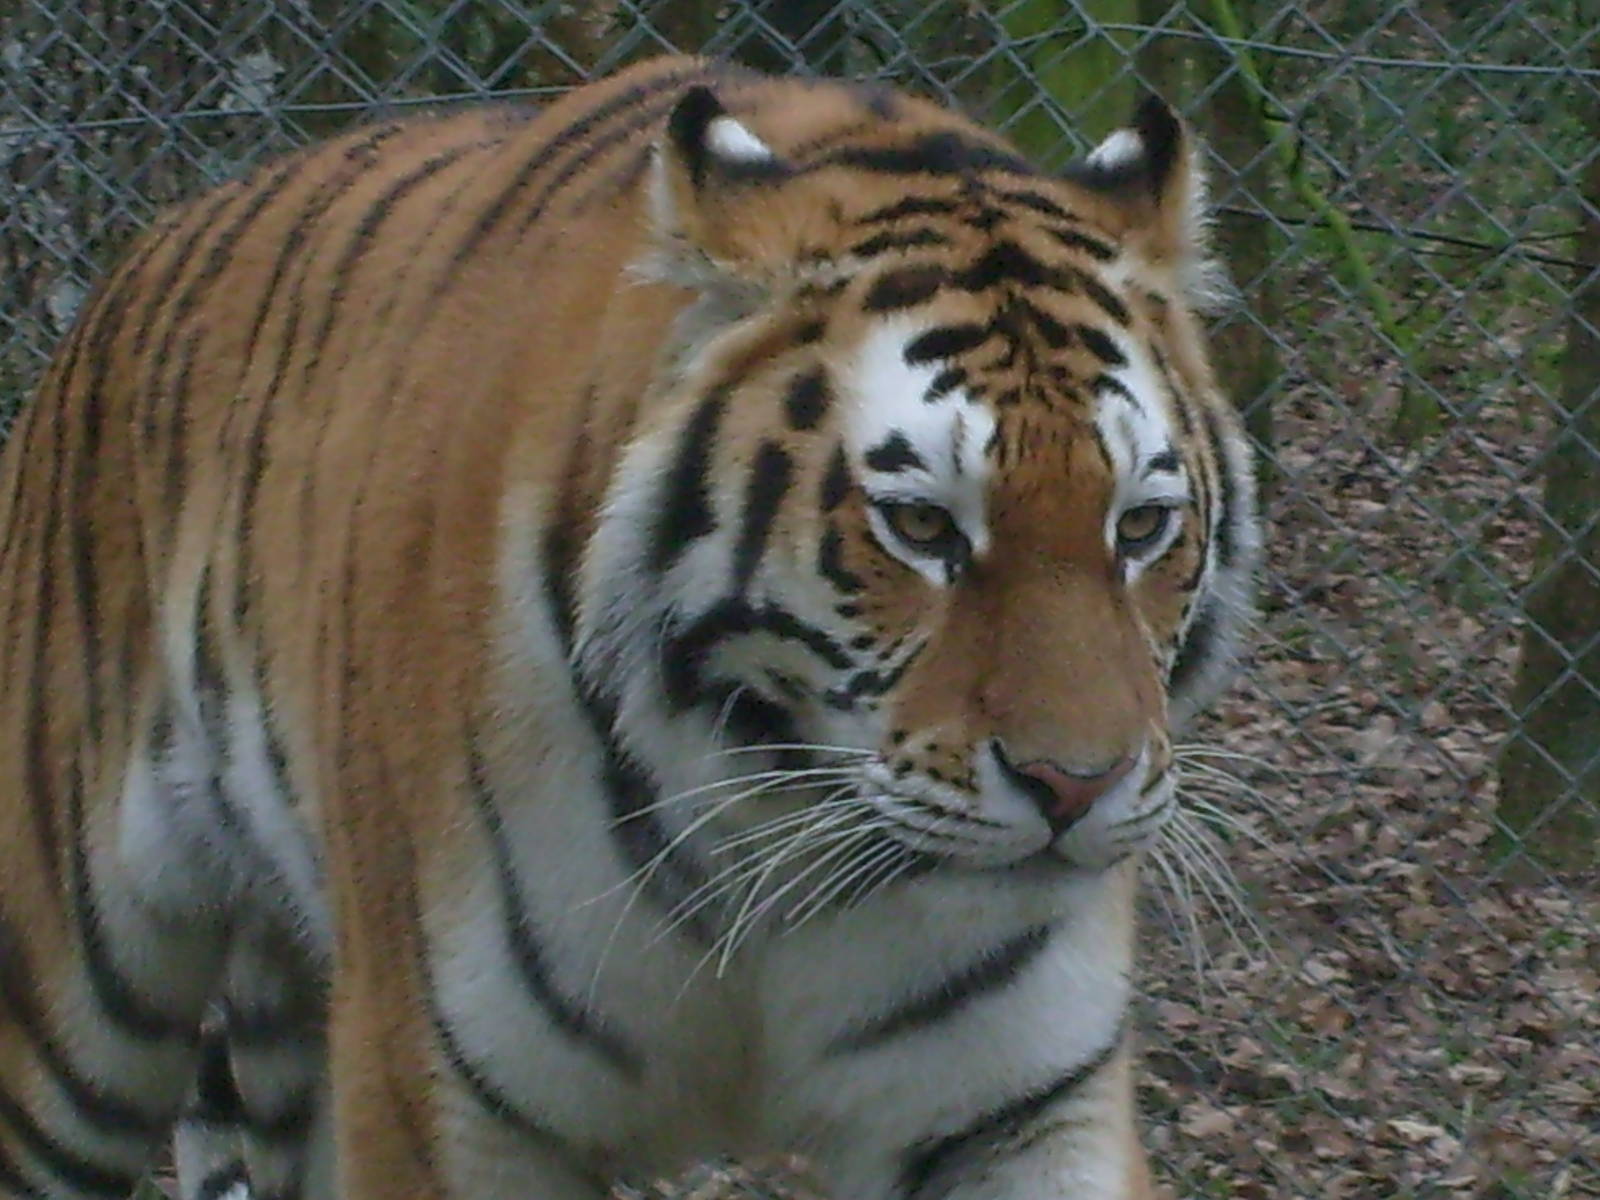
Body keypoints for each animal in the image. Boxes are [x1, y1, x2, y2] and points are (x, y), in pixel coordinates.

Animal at [0, 54, 1259, 1200]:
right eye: (920, 527)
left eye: (1139, 526)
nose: (1074, 787)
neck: (779, 813)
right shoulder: (443, 1103)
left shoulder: (1017, 1107)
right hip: (73, 1022)